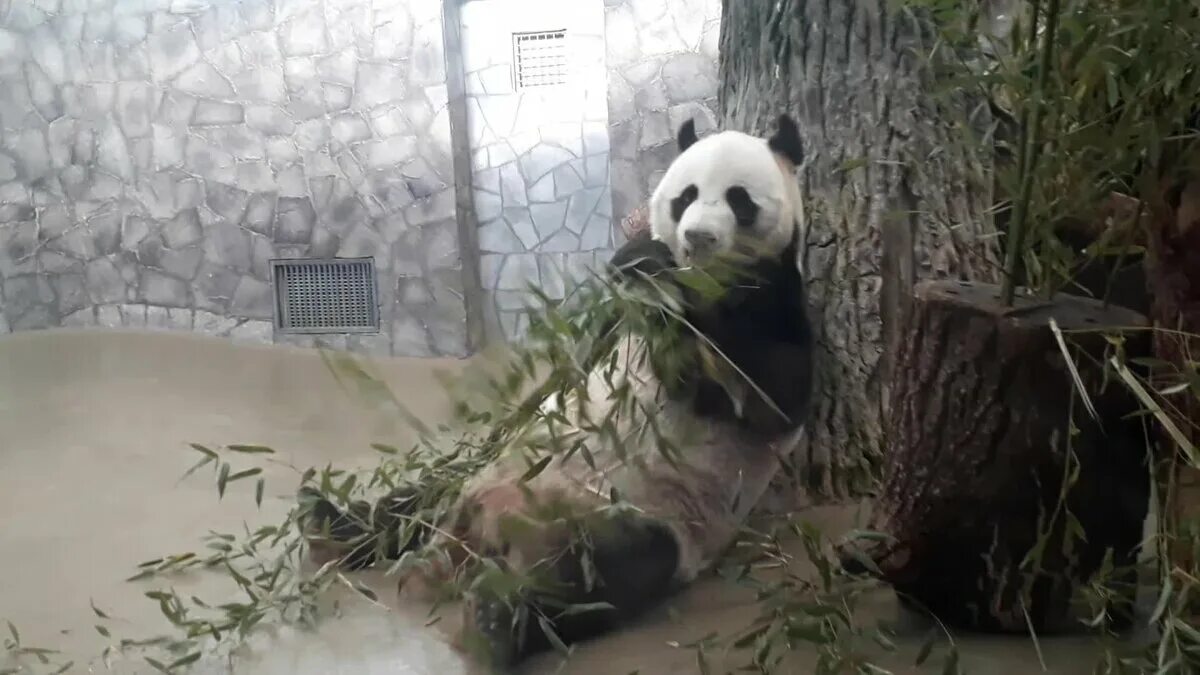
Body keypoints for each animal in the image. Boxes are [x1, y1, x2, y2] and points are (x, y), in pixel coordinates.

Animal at [300, 112, 816, 662]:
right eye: (687, 195)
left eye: (739, 199)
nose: (697, 237)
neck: (701, 282)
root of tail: (477, 535)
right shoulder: (614, 319)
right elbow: (570, 367)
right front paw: (643, 259)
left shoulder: (771, 301)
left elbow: (761, 394)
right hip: (487, 474)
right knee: (416, 500)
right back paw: (329, 522)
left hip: (640, 514)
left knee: (598, 577)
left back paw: (497, 618)